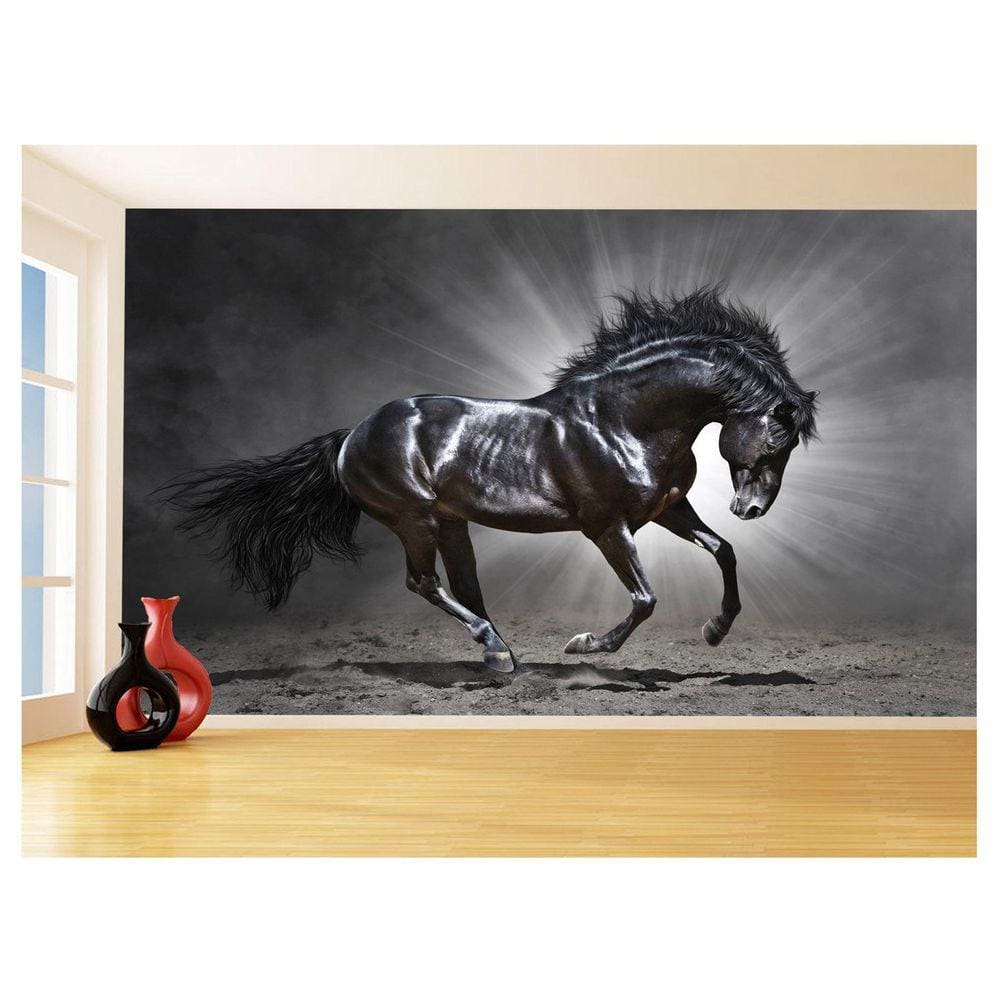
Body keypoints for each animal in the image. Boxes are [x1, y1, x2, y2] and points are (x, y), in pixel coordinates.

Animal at [165, 287, 818, 673]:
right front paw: (584, 645)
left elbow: (723, 551)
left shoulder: (666, 509)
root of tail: (352, 435)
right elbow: (645, 598)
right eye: (776, 438)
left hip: (451, 523)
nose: (751, 508)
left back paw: (502, 654)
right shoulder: (608, 527)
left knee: (463, 587)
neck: (621, 421)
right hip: (415, 519)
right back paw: (497, 652)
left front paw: (714, 630)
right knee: (424, 583)